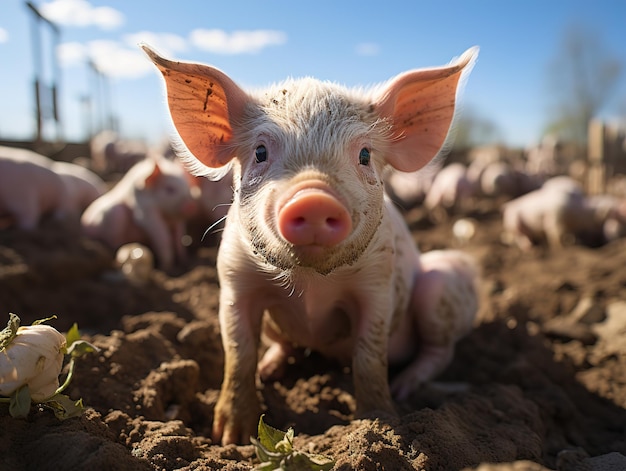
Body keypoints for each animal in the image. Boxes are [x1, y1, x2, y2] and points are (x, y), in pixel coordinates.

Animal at [144, 44, 480, 446]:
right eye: (260, 152)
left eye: (365, 155)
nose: (315, 197)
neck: (312, 285)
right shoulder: (233, 280)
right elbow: (238, 353)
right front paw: (230, 437)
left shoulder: (378, 284)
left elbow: (370, 357)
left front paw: (382, 422)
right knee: (280, 344)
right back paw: (270, 369)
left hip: (441, 285)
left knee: (439, 351)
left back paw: (404, 387)